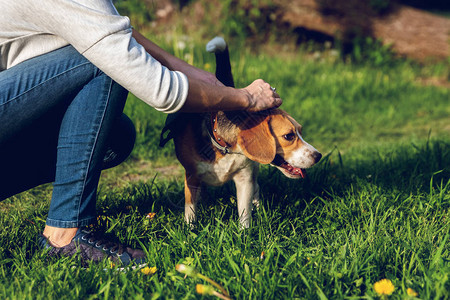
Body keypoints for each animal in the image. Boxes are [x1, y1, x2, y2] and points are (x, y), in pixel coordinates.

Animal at [160, 37, 322, 227]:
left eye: (301, 131)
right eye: (289, 136)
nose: (318, 156)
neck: (224, 147)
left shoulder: (245, 178)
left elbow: (244, 212)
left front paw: (245, 232)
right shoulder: (192, 175)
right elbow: (190, 208)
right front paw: (190, 229)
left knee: (256, 188)